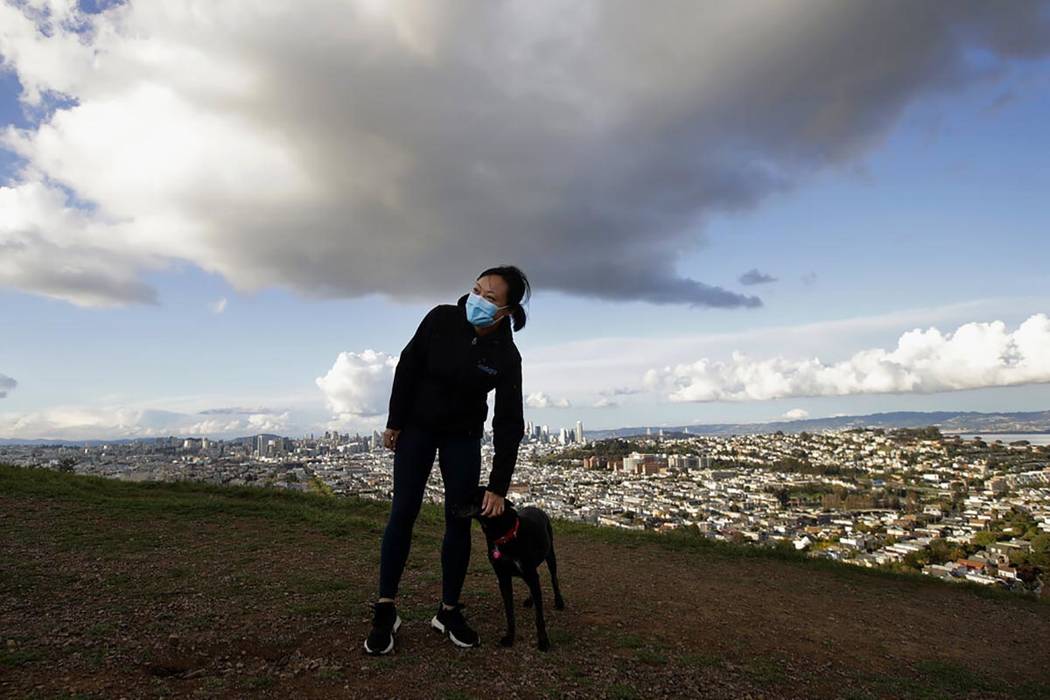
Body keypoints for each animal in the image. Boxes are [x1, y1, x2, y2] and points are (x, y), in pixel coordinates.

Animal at [453, 484, 567, 650]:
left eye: (475, 498)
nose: (453, 508)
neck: (503, 536)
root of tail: (536, 507)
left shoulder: (529, 572)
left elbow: (539, 617)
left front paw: (543, 641)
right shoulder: (503, 578)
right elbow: (509, 613)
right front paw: (509, 637)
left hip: (550, 555)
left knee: (553, 578)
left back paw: (559, 601)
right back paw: (530, 600)